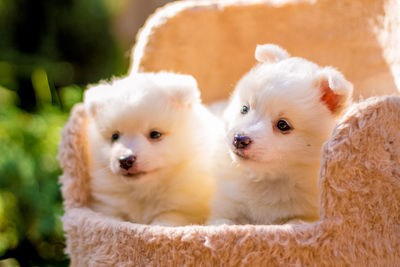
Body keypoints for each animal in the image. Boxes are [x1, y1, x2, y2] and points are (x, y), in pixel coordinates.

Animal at [82, 73, 217, 226]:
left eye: (155, 134)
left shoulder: (182, 210)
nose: (125, 160)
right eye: (115, 136)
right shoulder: (108, 205)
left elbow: (166, 220)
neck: (144, 191)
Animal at [208, 44, 354, 226]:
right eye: (244, 109)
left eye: (283, 125)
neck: (268, 178)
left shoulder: (307, 214)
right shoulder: (225, 206)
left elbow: (294, 221)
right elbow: (222, 223)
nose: (239, 139)